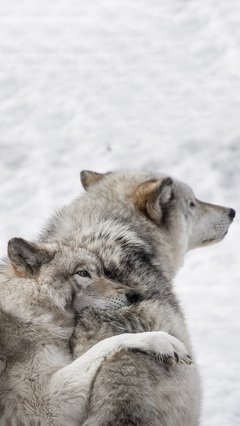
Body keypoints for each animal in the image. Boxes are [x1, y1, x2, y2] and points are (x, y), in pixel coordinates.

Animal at [0, 238, 188, 424]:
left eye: (102, 272)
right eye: (83, 273)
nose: (135, 294)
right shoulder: (45, 406)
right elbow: (107, 343)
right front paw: (162, 341)